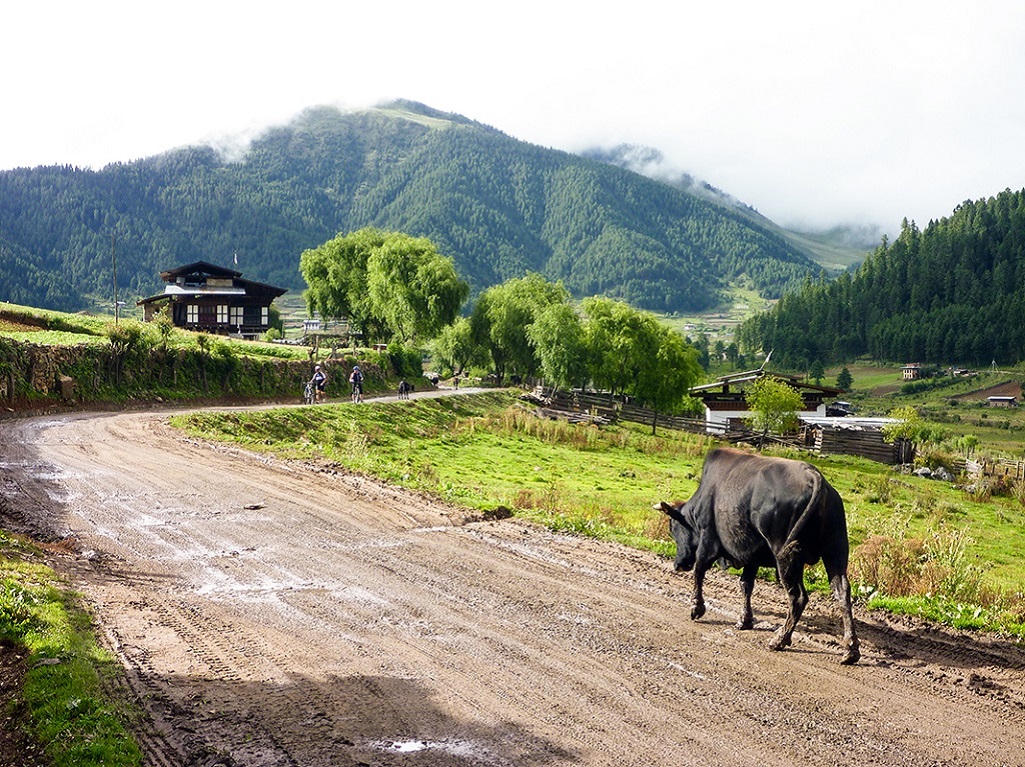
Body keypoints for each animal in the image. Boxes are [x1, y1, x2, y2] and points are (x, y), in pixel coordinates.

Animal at [656, 447, 856, 660]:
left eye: (673, 528)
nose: (678, 564)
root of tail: (814, 476)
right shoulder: (751, 555)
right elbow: (745, 585)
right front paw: (745, 620)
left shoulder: (708, 540)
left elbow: (699, 571)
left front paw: (696, 608)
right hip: (835, 553)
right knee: (842, 592)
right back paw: (851, 649)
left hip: (786, 556)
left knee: (798, 597)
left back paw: (780, 639)